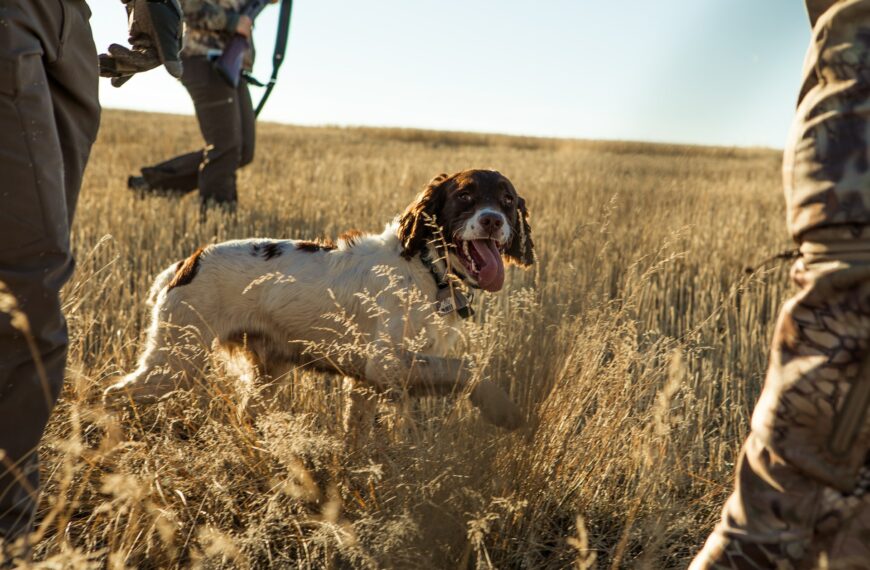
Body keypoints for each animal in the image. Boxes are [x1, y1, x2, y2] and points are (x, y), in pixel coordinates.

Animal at [105, 171, 536, 428]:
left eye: (507, 200)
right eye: (464, 196)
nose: (493, 220)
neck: (427, 270)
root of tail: (185, 263)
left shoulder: (365, 382)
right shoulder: (384, 364)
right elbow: (466, 368)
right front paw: (503, 409)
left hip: (264, 372)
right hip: (173, 363)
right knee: (113, 394)